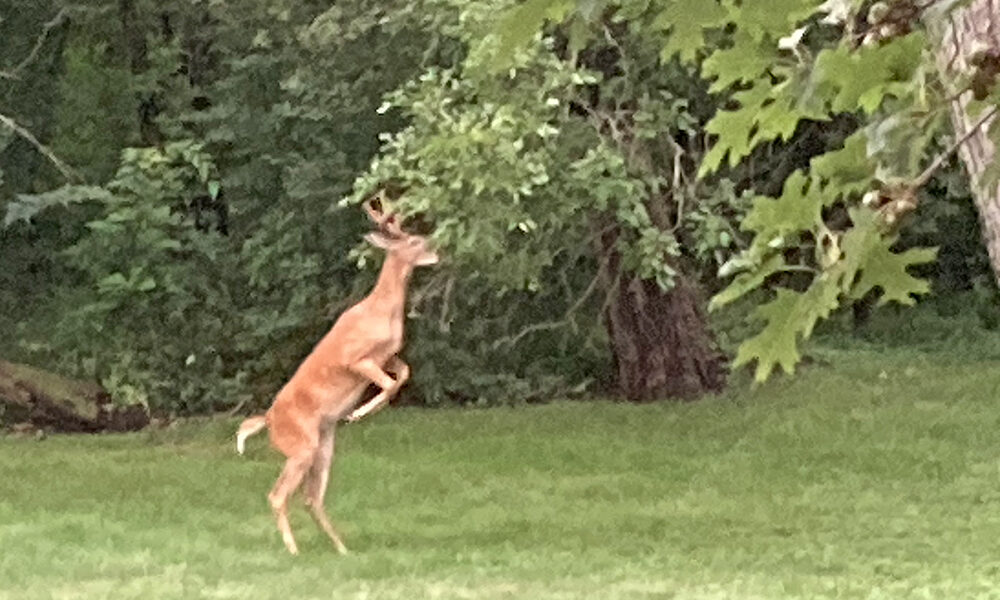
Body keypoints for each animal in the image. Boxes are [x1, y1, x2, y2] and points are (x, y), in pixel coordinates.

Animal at [235, 197, 439, 555]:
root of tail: (269, 420)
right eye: (415, 241)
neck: (381, 311)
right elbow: (390, 385)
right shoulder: (356, 359)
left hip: (322, 446)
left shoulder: (389, 356)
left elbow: (403, 374)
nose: (438, 251)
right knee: (278, 495)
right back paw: (294, 550)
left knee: (311, 497)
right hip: (300, 446)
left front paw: (361, 411)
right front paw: (359, 412)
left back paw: (342, 548)